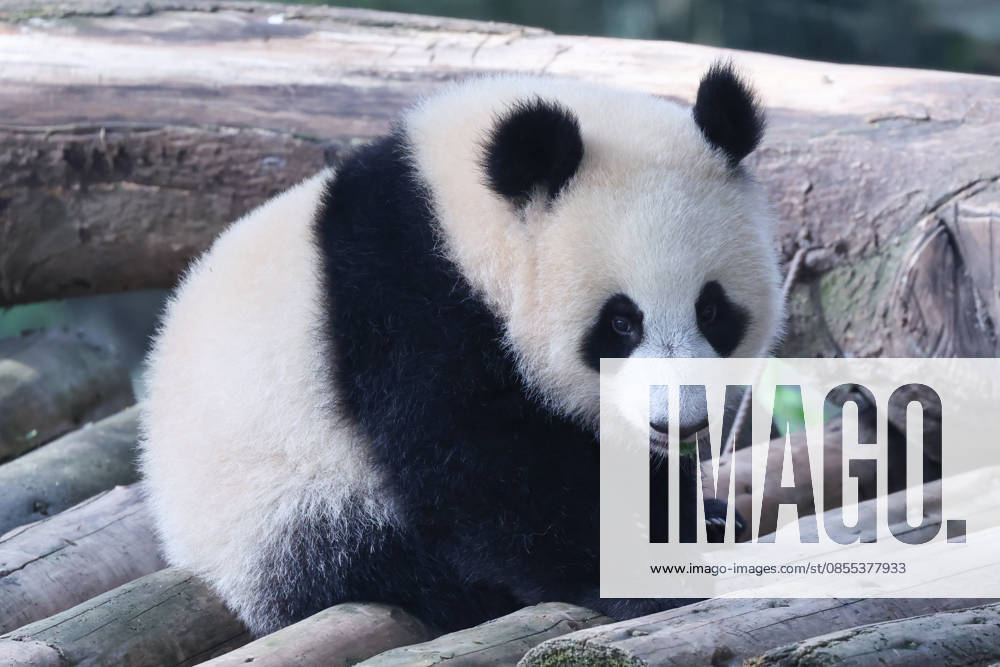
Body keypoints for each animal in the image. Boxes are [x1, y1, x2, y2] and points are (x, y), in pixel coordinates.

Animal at [139, 62, 783, 636]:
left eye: (711, 310)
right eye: (621, 322)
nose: (681, 421)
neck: (461, 222)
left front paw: (694, 517)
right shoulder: (407, 307)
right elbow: (484, 467)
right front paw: (635, 575)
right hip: (281, 505)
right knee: (367, 562)